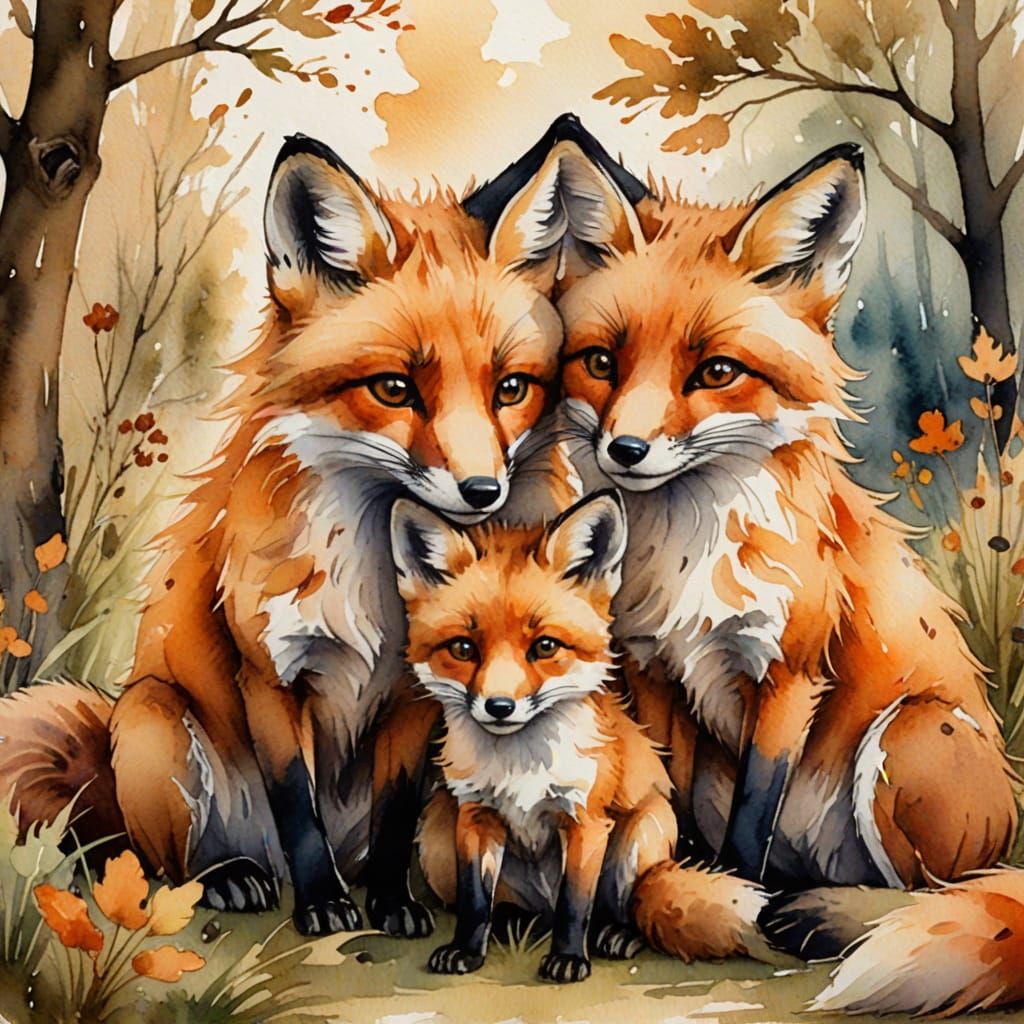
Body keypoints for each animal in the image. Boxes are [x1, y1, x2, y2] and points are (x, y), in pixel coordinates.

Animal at [0, 131, 628, 937]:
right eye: (394, 388)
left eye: (511, 388)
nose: (482, 493)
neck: (371, 582)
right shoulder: (271, 674)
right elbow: (297, 805)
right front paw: (325, 904)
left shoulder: (415, 699)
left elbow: (395, 812)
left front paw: (390, 903)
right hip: (153, 725)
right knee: (164, 862)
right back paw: (233, 876)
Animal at [390, 490, 766, 981]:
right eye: (463, 648)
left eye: (545, 646)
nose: (499, 707)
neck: (520, 766)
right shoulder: (474, 816)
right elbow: (474, 901)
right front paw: (466, 951)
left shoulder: (586, 819)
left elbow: (575, 902)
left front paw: (568, 959)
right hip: (437, 832)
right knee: (514, 909)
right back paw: (511, 922)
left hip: (644, 831)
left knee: (622, 906)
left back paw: (616, 934)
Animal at [468, 119, 1023, 1013]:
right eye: (602, 362)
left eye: (716, 372)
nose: (624, 450)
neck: (687, 561)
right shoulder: (655, 672)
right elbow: (674, 807)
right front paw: (663, 898)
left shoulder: (788, 675)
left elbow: (751, 818)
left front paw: (720, 894)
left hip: (907, 736)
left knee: (931, 891)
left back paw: (830, 913)